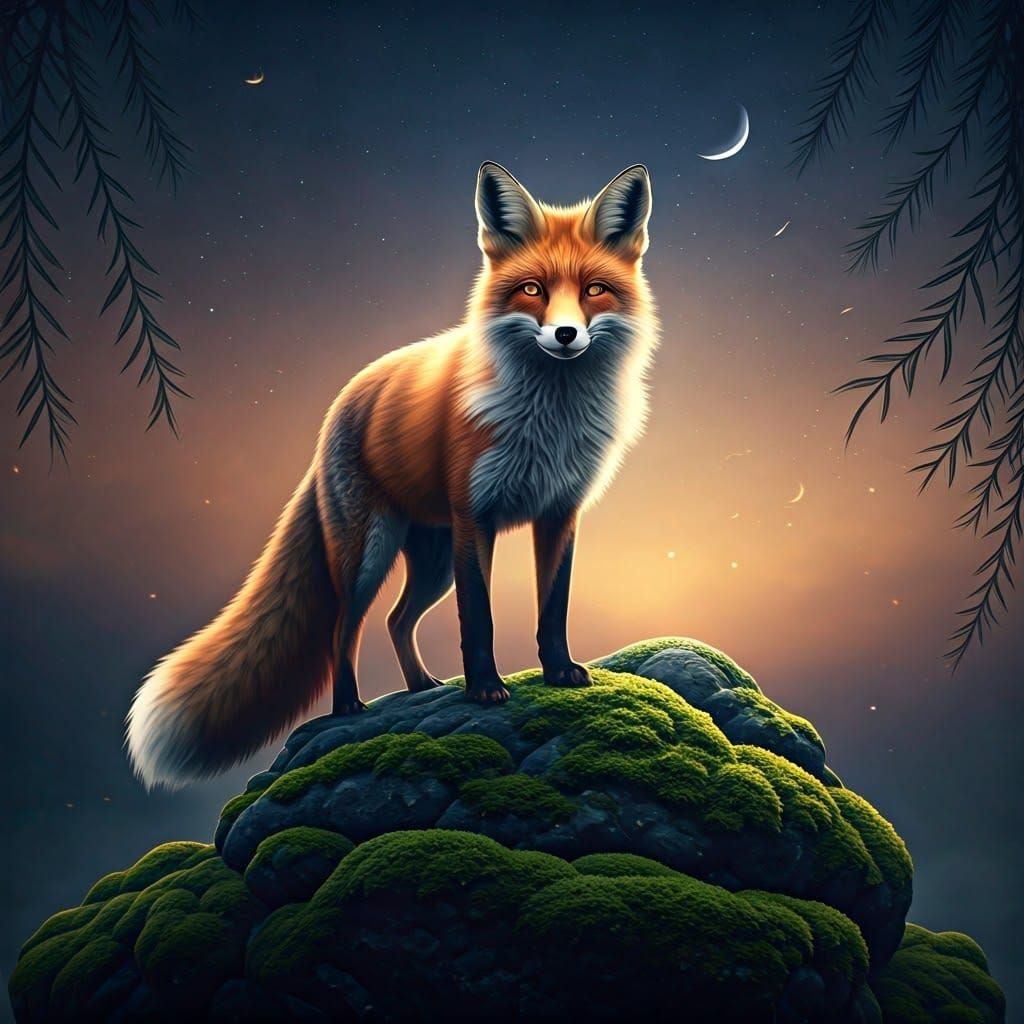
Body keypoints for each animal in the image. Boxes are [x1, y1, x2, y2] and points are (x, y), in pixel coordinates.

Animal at [127, 161, 659, 788]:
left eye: (594, 290)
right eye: (532, 290)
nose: (566, 335)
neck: (549, 418)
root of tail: (340, 407)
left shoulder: (559, 514)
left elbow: (553, 607)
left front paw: (558, 673)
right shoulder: (475, 517)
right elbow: (479, 620)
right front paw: (485, 689)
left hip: (432, 563)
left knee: (397, 620)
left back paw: (420, 686)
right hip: (371, 554)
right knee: (345, 629)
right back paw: (349, 707)